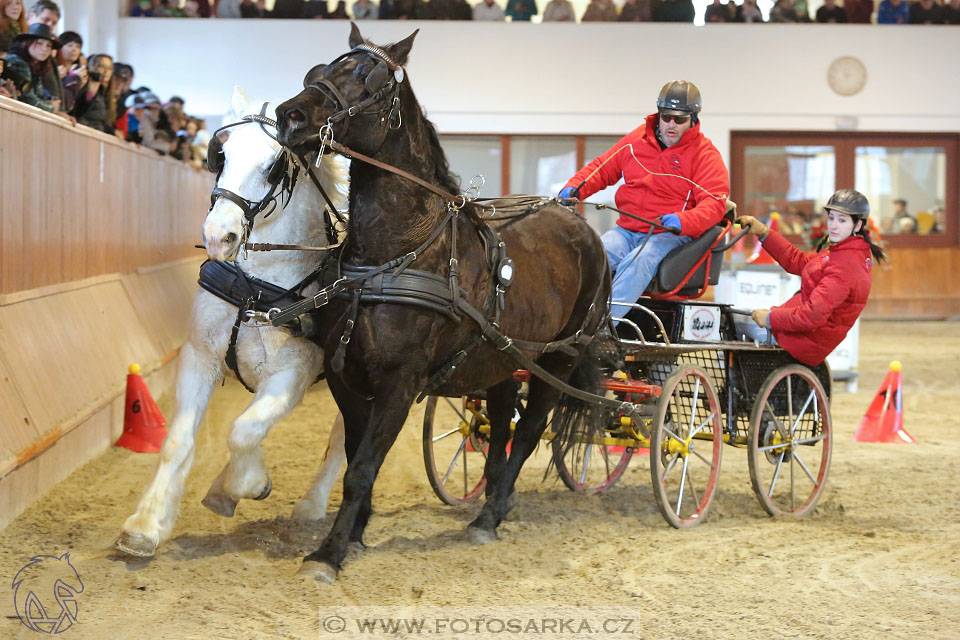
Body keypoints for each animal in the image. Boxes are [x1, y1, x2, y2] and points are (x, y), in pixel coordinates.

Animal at [116, 87, 348, 556]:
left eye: (275, 163)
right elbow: (177, 442)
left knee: (343, 439)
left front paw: (247, 484)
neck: (254, 286)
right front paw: (147, 523)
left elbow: (243, 431)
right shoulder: (199, 356)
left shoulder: (293, 373)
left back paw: (311, 506)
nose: (217, 236)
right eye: (220, 154)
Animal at [274, 26, 612, 584]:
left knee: (528, 432)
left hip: (556, 360)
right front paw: (356, 532)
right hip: (500, 357)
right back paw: (491, 506)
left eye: (367, 79)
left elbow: (363, 467)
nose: (289, 115)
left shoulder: (400, 381)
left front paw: (328, 554)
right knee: (500, 425)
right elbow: (356, 460)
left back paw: (490, 516)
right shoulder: (347, 378)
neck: (394, 254)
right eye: (316, 71)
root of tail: (584, 228)